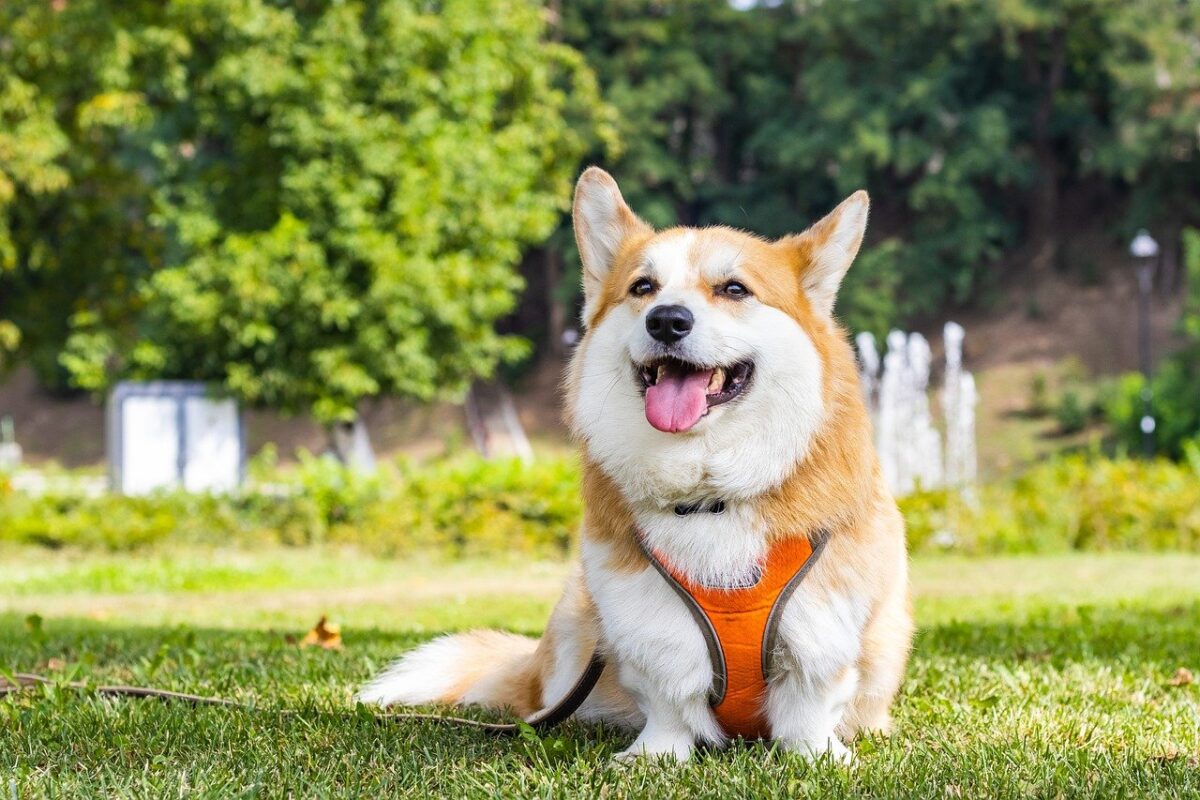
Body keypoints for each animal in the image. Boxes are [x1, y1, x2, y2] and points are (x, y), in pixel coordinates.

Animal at [355, 165, 907, 762]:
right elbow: (667, 692)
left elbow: (809, 702)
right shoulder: (643, 609)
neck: (709, 495)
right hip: (574, 629)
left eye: (735, 289)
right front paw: (655, 757)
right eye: (643, 288)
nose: (666, 321)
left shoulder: (823, 618)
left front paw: (818, 756)